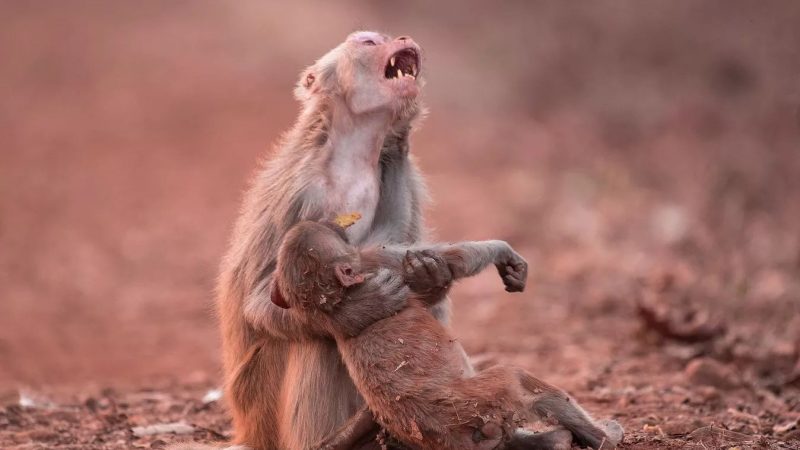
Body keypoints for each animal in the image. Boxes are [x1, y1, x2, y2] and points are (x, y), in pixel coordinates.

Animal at [216, 32, 460, 450]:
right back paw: (338, 437)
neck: (352, 155)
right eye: (369, 42)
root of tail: (247, 430)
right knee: (317, 339)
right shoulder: (302, 194)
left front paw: (430, 276)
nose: (402, 38)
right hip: (262, 408)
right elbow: (261, 300)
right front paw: (357, 312)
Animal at [272, 221, 620, 450]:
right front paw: (503, 252)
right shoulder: (374, 260)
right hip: (480, 401)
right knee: (517, 379)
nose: (335, 222)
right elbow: (456, 259)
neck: (335, 300)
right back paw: (603, 437)